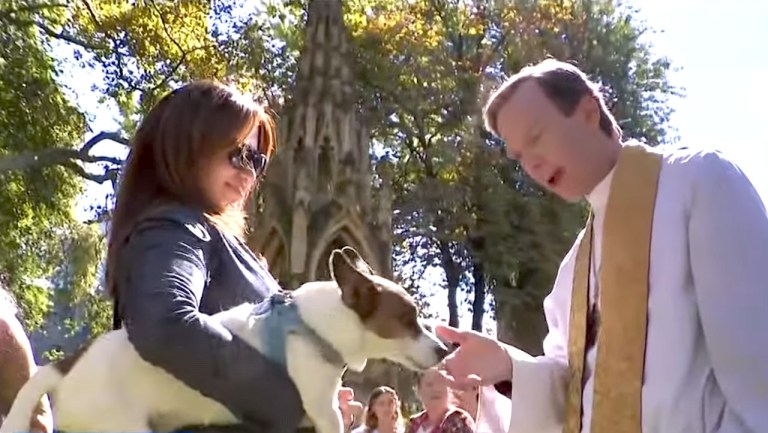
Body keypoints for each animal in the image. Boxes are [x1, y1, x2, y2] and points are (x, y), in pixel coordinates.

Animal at [0, 246, 450, 432]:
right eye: (408, 319)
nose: (445, 349)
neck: (318, 322)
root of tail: (66, 364)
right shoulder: (325, 413)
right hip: (122, 427)